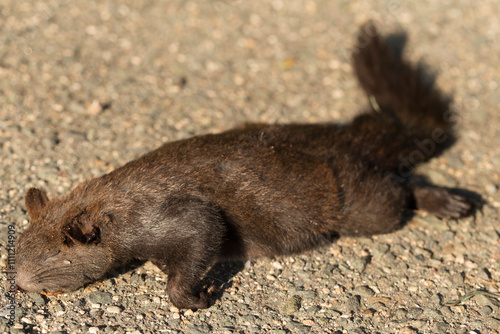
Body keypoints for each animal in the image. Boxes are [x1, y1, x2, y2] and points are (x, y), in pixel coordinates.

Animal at [16, 22, 472, 310]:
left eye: (56, 257)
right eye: (17, 246)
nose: (20, 284)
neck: (111, 205)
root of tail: (353, 136)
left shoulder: (174, 216)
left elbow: (202, 236)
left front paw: (194, 297)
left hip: (364, 204)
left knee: (401, 189)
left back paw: (448, 202)